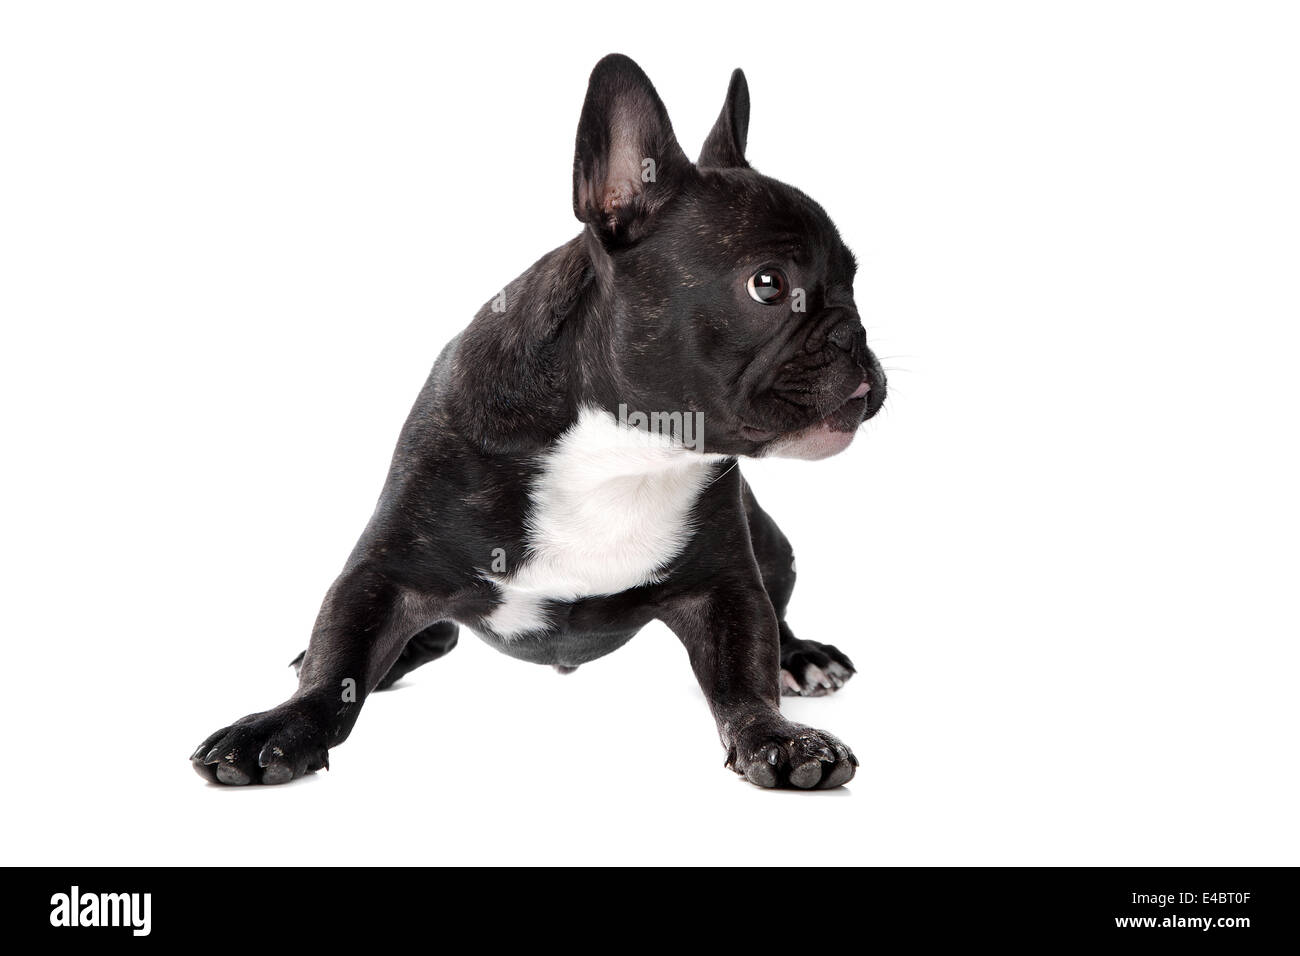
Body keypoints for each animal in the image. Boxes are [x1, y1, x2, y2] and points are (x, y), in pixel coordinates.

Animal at [189, 52, 883, 790]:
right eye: (768, 285)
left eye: (853, 282)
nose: (853, 332)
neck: (624, 448)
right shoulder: (384, 571)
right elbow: (335, 663)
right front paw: (280, 725)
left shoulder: (725, 586)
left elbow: (746, 672)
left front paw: (778, 735)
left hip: (772, 542)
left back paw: (802, 654)